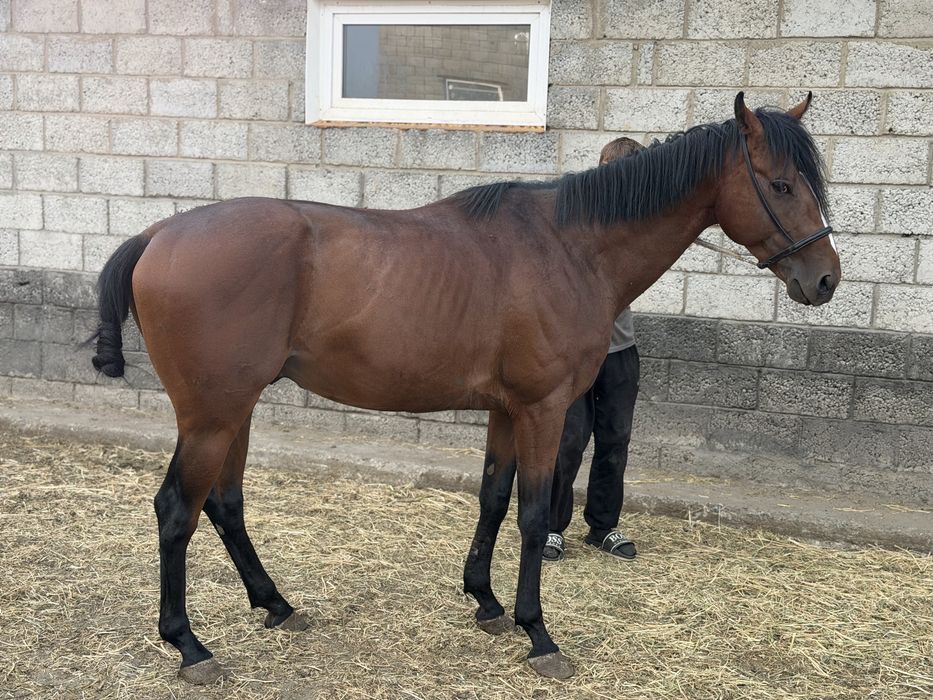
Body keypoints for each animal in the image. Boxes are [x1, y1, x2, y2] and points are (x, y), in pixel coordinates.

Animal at [90, 92, 840, 683]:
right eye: (779, 185)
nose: (825, 278)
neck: (569, 246)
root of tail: (158, 233)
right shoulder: (544, 410)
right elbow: (534, 515)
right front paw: (539, 633)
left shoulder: (507, 411)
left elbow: (492, 499)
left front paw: (486, 601)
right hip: (212, 416)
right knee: (177, 511)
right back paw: (190, 646)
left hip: (234, 410)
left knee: (225, 504)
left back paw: (276, 605)